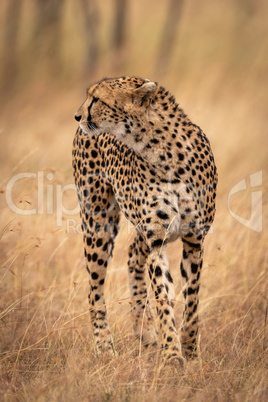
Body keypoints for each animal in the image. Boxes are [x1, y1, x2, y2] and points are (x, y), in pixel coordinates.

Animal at [71, 74, 218, 366]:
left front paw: (190, 350)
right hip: (98, 223)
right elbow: (163, 298)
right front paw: (172, 354)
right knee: (95, 288)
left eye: (97, 99)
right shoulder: (156, 242)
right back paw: (105, 347)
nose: (77, 116)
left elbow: (192, 299)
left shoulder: (194, 239)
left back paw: (145, 333)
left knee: (132, 257)